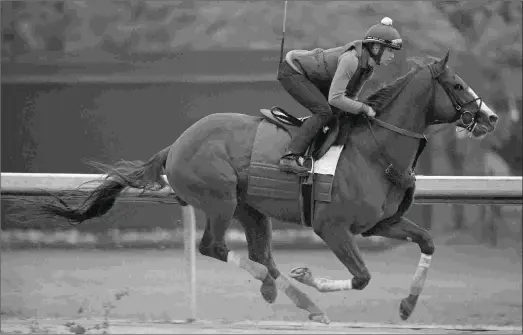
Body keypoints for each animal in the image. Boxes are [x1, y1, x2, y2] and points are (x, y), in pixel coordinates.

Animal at [36, 50, 500, 326]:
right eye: (456, 85)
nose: (491, 117)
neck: (374, 150)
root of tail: (176, 144)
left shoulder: (379, 224)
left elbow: (427, 242)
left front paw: (407, 306)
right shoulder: (332, 227)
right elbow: (362, 277)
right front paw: (311, 276)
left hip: (251, 209)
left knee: (262, 256)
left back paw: (290, 295)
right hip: (219, 198)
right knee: (217, 248)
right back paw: (289, 293)